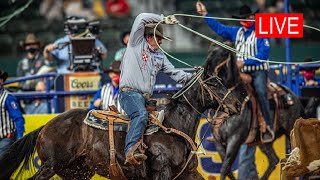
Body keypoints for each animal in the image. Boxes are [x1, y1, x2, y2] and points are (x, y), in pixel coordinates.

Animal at [0, 61, 240, 179]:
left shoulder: (189, 173)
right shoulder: (161, 171)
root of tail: (47, 126)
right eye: (214, 83)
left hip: (76, 172)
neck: (172, 127)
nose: (237, 104)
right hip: (50, 165)